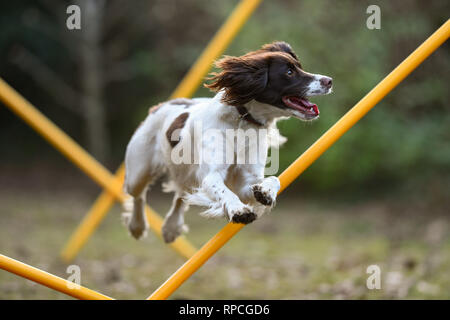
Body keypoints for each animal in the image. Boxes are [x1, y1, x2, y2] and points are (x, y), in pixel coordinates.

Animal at [121, 42, 332, 242]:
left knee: (181, 195)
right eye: (289, 72)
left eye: (299, 66)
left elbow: (273, 179)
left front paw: (266, 192)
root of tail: (159, 106)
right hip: (138, 172)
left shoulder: (247, 180)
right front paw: (238, 210)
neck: (242, 122)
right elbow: (224, 192)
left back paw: (171, 227)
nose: (329, 81)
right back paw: (137, 226)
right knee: (139, 196)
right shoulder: (211, 175)